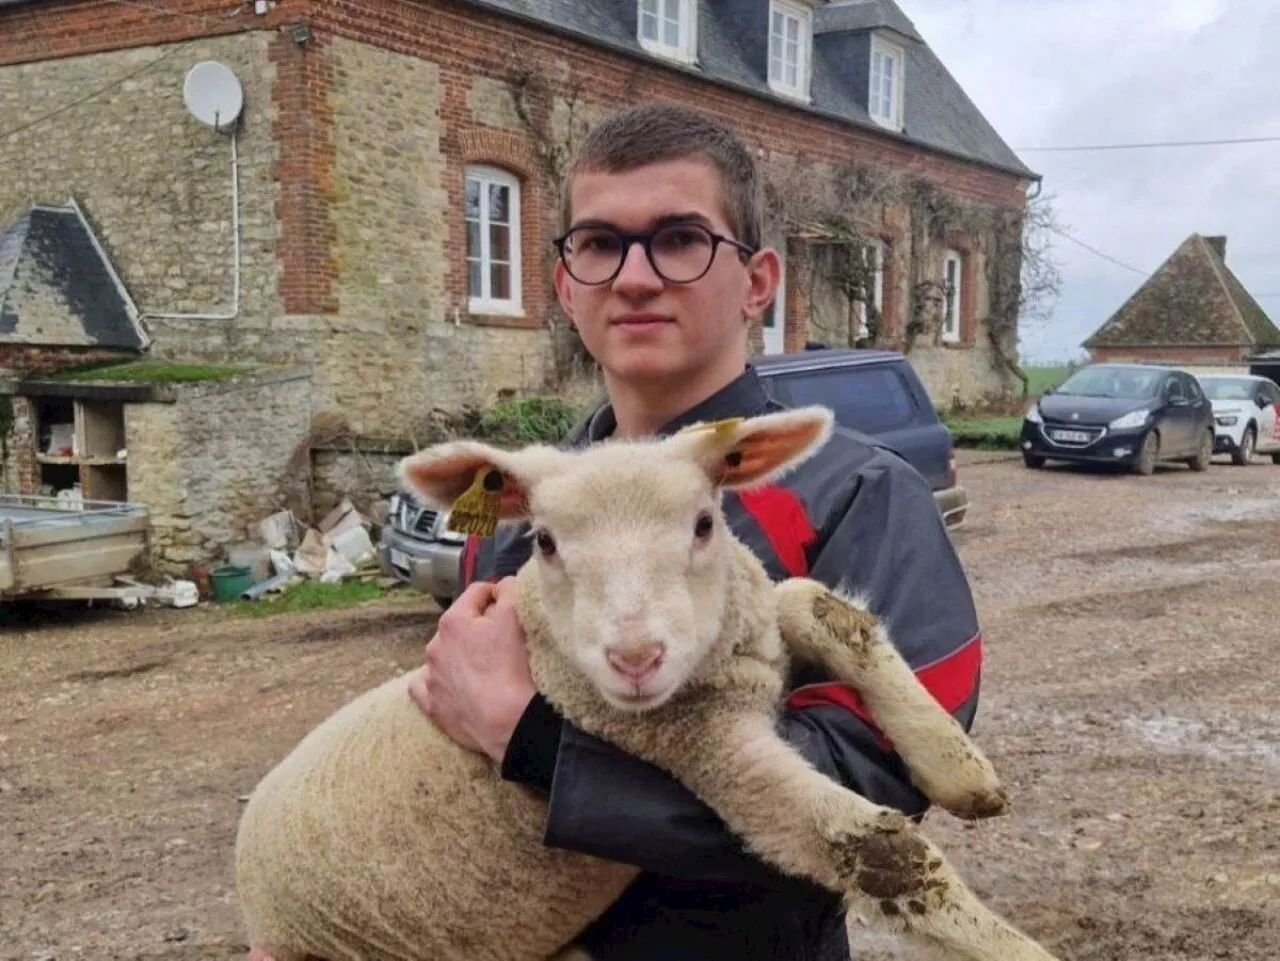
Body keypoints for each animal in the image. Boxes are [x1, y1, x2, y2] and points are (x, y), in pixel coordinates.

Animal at [232, 406, 1059, 961]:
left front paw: (958, 766)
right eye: (543, 541)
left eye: (703, 523)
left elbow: (818, 604)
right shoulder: (707, 752)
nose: (634, 657)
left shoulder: (751, 633)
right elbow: (882, 852)